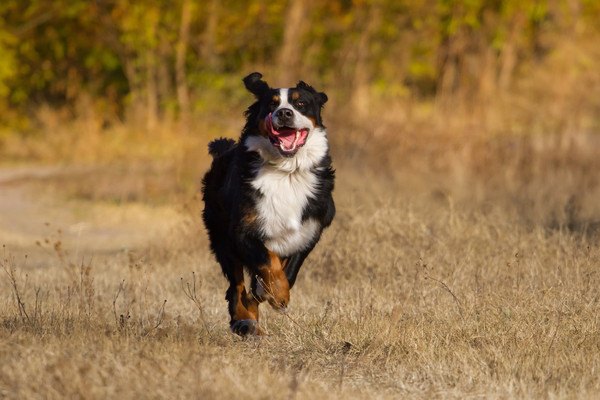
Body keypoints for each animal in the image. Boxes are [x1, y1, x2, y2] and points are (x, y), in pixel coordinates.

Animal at [200, 72, 332, 334]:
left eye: (301, 103)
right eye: (271, 104)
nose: (284, 113)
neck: (287, 172)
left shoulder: (309, 229)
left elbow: (288, 270)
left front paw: (269, 292)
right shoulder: (242, 230)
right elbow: (267, 262)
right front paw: (278, 296)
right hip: (222, 237)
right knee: (236, 286)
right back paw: (245, 321)